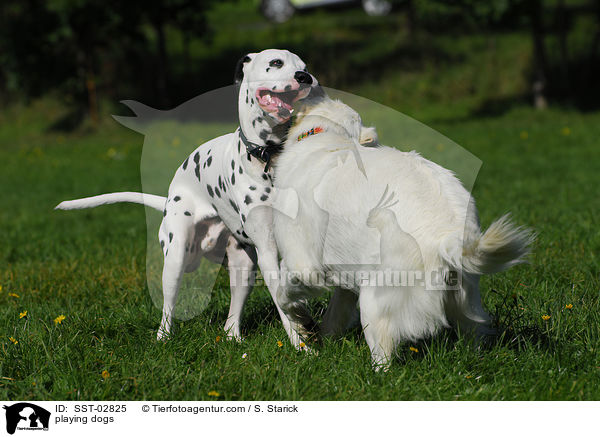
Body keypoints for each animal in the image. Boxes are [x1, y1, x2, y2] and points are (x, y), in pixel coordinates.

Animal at [274, 95, 536, 368]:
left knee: (384, 358)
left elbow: (283, 294)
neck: (330, 138)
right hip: (465, 300)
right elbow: (334, 314)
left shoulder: (303, 264)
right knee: (474, 333)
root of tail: (447, 235)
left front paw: (301, 325)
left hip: (374, 302)